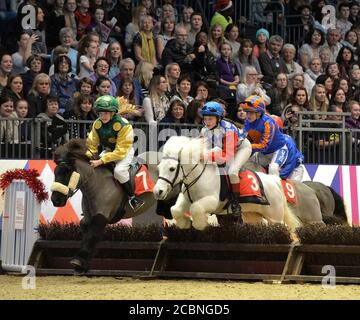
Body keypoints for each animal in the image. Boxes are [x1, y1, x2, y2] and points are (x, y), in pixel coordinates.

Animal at [153, 136, 302, 240]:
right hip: (253, 215)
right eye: (159, 167)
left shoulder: (212, 201)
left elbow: (196, 208)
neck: (199, 175)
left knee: (283, 227)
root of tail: (275, 181)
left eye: (172, 169)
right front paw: (184, 225)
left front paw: (199, 225)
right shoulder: (186, 199)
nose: (158, 191)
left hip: (274, 216)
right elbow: (175, 209)